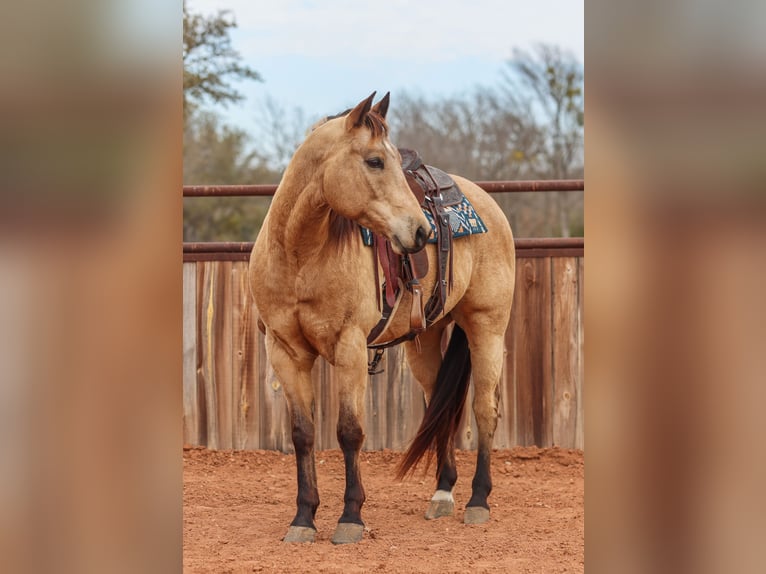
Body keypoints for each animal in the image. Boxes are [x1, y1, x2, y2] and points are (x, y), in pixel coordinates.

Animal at [248, 92, 515, 544]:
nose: (421, 231)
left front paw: (350, 517)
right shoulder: (285, 350)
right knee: (440, 408)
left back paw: (479, 500)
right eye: (374, 161)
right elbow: (302, 434)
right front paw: (303, 518)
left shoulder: (350, 347)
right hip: (426, 342)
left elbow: (349, 431)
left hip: (487, 328)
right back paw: (443, 493)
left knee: (485, 409)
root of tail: (489, 205)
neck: (299, 256)